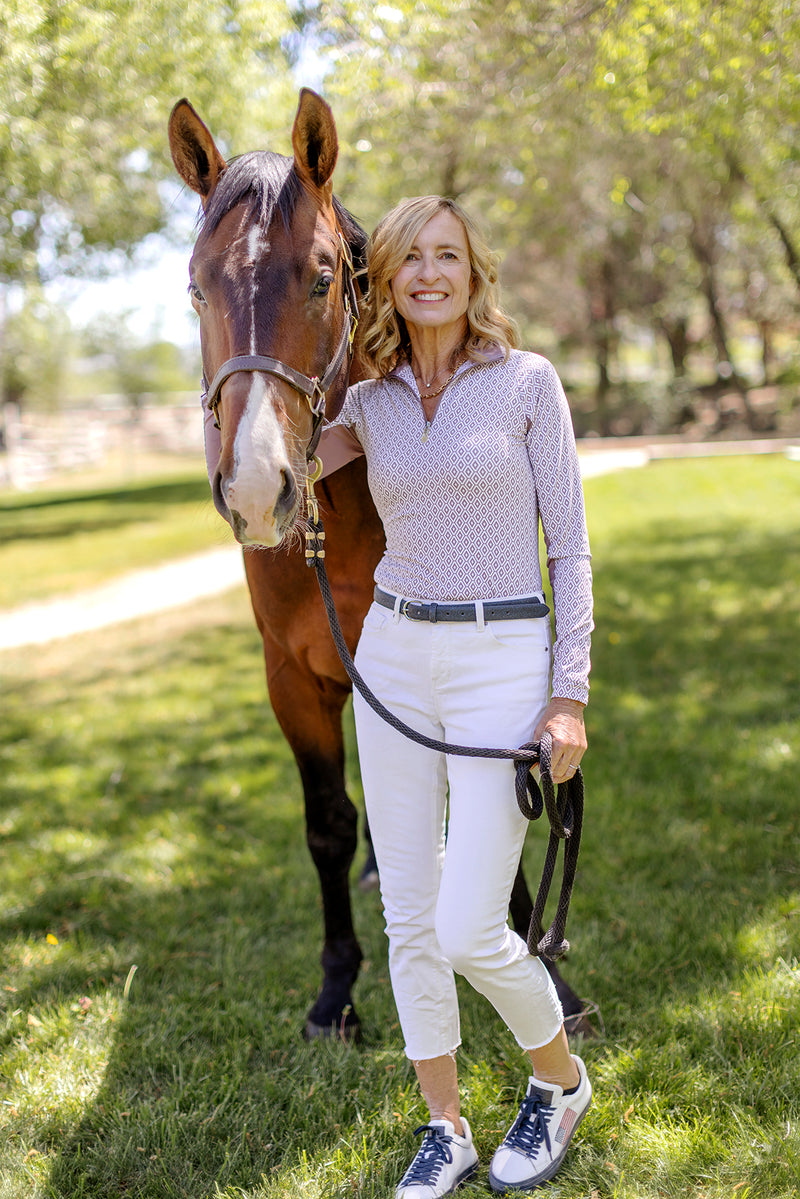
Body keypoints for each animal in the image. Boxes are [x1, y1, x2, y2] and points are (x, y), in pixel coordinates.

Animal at [169, 86, 592, 1040]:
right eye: (195, 287)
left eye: (325, 277)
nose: (258, 488)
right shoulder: (294, 678)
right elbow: (326, 821)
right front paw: (336, 991)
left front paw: (550, 980)